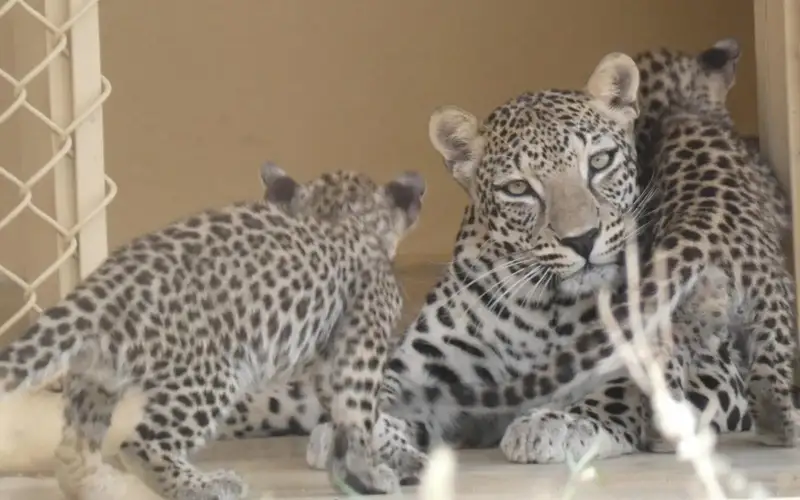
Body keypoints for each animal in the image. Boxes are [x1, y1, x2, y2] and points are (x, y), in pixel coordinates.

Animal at [0, 162, 426, 499]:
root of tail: (99, 292)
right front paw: (374, 472)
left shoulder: (329, 361)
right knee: (141, 445)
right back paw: (206, 485)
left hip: (96, 379)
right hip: (211, 375)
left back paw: (104, 487)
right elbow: (360, 414)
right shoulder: (362, 344)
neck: (341, 214)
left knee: (72, 453)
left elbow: (357, 416)